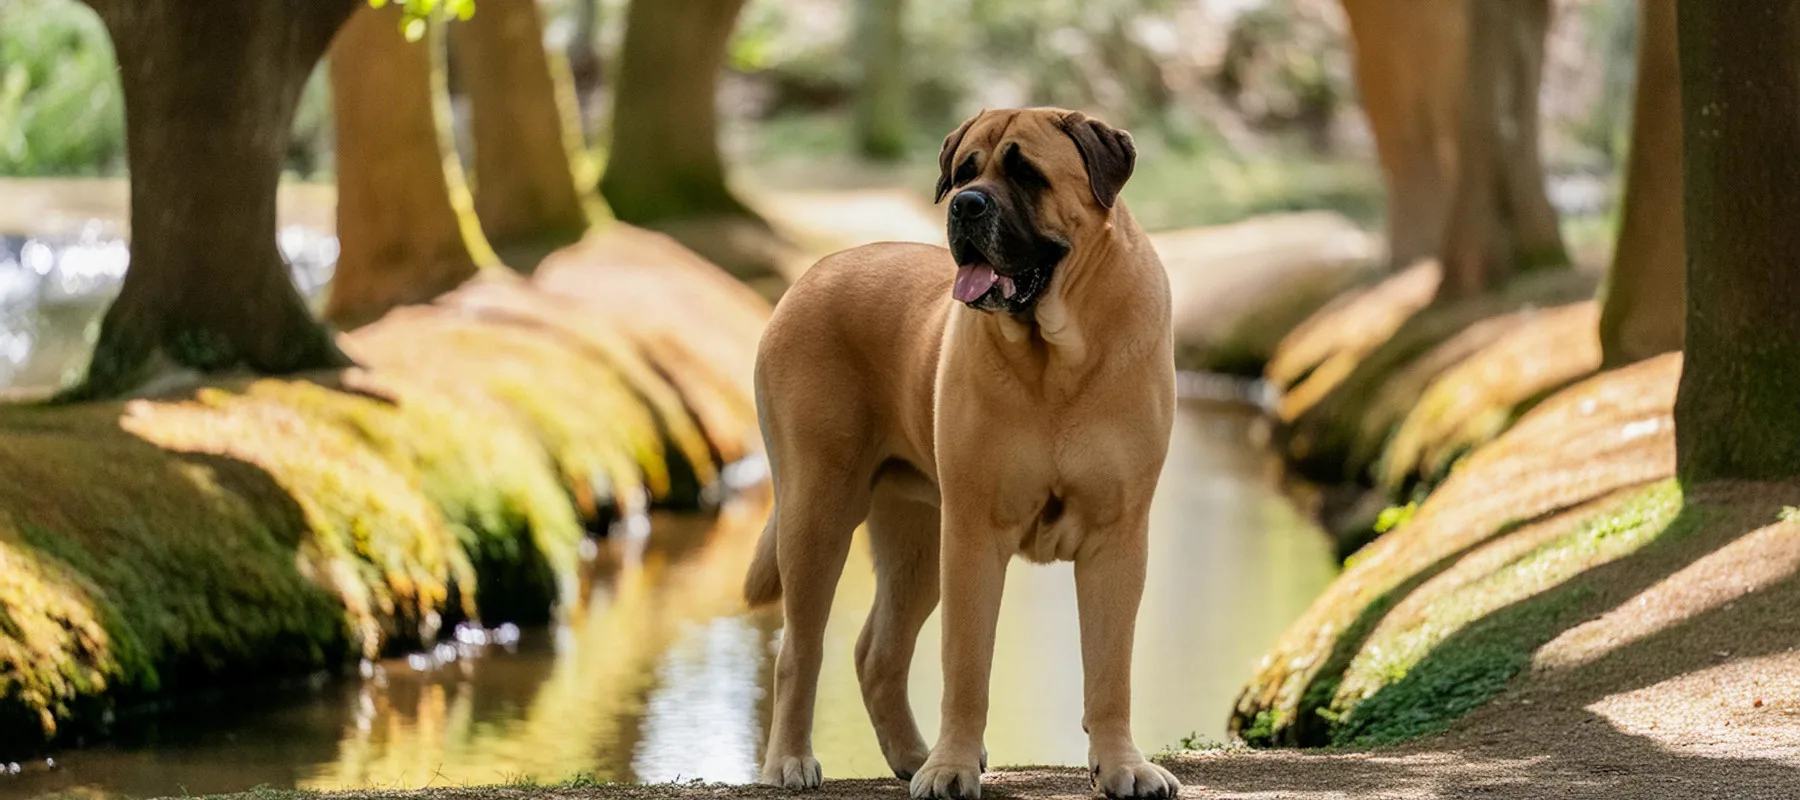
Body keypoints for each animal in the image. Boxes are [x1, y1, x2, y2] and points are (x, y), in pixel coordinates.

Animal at [745, 107, 1180, 800]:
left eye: (1026, 173)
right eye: (963, 172)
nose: (966, 205)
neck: (1058, 354)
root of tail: (812, 274)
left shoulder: (1117, 536)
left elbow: (1111, 669)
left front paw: (1122, 767)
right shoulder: (974, 534)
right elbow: (967, 664)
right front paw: (951, 768)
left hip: (919, 537)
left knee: (878, 653)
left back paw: (909, 755)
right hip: (819, 510)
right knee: (800, 648)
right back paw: (791, 760)